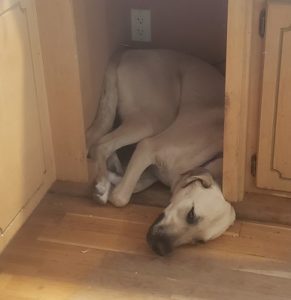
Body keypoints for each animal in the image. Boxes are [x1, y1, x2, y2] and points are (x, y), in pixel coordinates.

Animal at [86, 49, 235, 255]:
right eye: (191, 214)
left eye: (198, 241)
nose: (160, 248)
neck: (210, 159)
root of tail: (128, 51)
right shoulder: (147, 149)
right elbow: (120, 197)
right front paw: (107, 186)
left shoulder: (151, 174)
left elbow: (131, 184)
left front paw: (111, 178)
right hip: (153, 121)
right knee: (100, 143)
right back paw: (101, 181)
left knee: (98, 138)